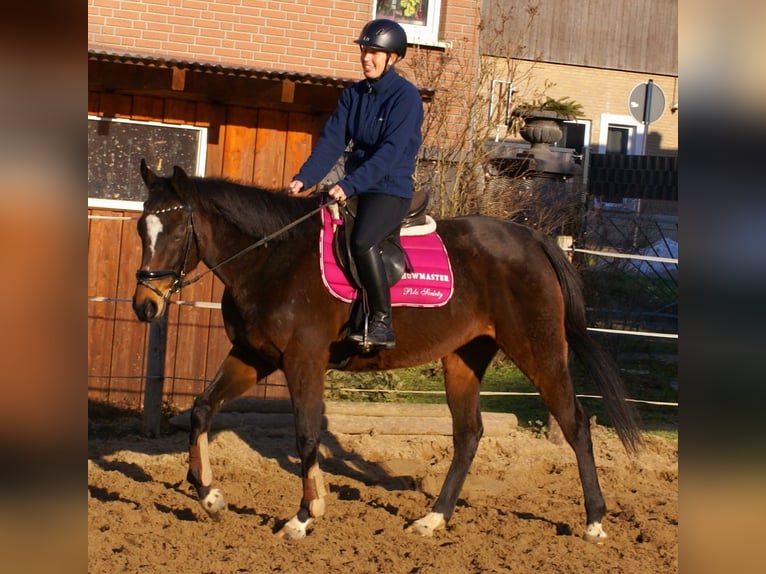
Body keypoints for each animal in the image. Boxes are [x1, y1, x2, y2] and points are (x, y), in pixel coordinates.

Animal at [132, 160, 642, 543]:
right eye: (141, 228)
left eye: (175, 231)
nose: (144, 305)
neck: (272, 259)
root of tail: (532, 239)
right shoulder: (254, 357)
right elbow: (202, 409)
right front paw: (209, 496)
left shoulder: (302, 361)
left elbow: (306, 435)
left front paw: (305, 515)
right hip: (465, 356)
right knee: (468, 434)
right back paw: (433, 518)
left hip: (538, 348)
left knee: (574, 423)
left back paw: (595, 522)